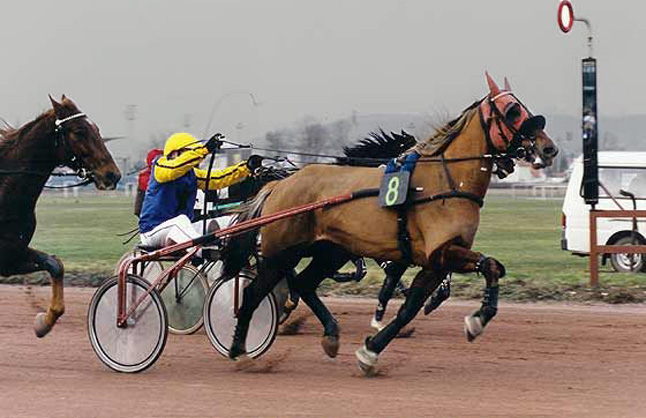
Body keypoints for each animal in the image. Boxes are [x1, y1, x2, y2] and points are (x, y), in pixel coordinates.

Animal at [0, 94, 121, 336]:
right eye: (79, 131)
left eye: (96, 128)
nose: (112, 174)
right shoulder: (7, 256)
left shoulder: (11, 255)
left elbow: (55, 264)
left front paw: (44, 322)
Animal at [220, 72, 560, 376]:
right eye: (512, 110)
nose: (549, 148)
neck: (446, 181)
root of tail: (280, 184)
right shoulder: (442, 253)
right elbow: (489, 265)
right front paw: (477, 320)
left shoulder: (436, 261)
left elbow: (412, 307)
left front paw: (370, 351)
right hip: (283, 252)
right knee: (254, 294)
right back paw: (240, 351)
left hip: (331, 251)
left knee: (303, 284)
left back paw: (330, 334)